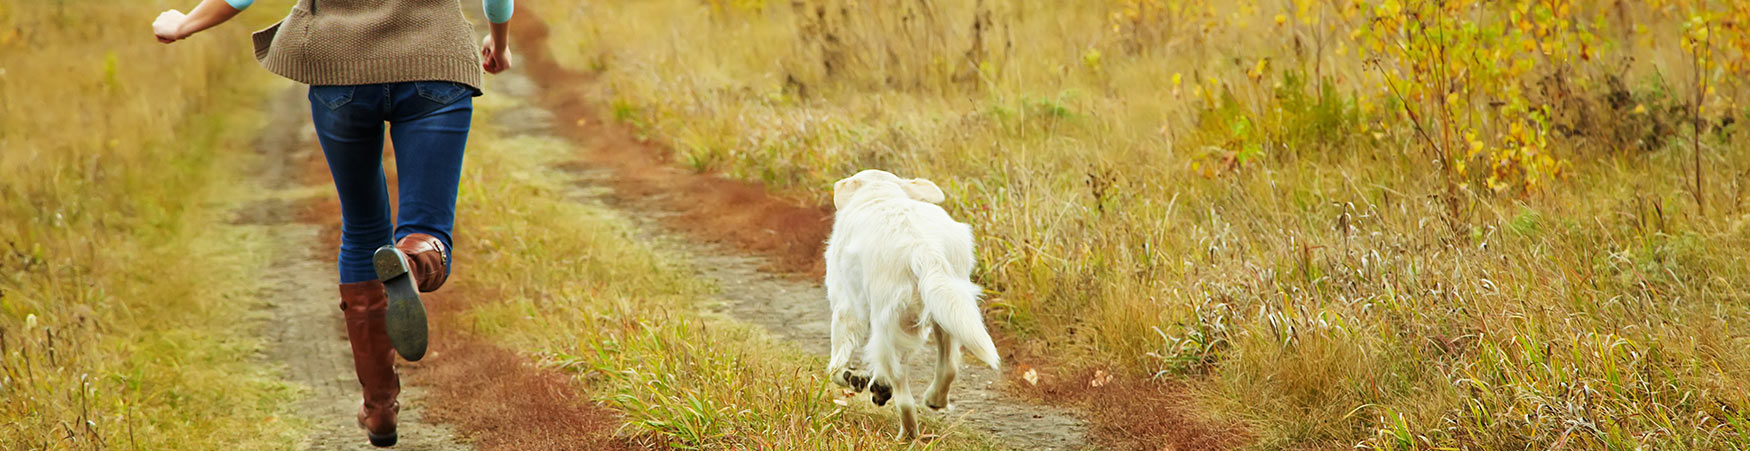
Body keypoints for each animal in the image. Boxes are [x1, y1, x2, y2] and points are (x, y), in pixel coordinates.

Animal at [822, 170, 1001, 440]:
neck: (880, 194)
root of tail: (922, 247)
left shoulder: (846, 308)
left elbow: (835, 367)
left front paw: (852, 377)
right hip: (946, 312)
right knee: (949, 366)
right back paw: (934, 400)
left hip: (889, 320)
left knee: (903, 394)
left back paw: (905, 433)